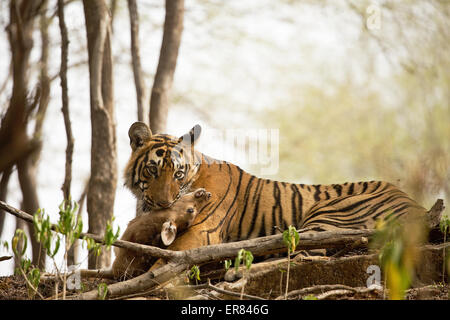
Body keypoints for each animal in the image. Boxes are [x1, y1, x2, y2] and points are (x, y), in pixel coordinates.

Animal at [123, 122, 436, 268]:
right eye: (152, 169)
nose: (164, 204)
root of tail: (417, 204)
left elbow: (166, 260)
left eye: (178, 173)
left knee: (306, 250)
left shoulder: (202, 234)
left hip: (331, 214)